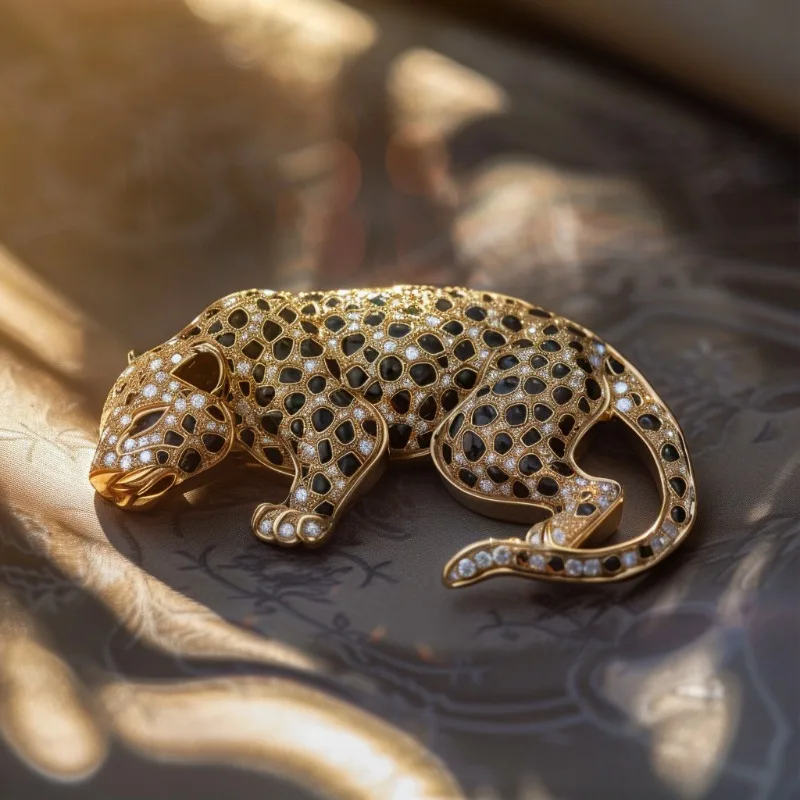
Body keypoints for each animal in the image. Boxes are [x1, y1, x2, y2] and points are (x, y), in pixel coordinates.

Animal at [90, 285, 696, 586]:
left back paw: (551, 539)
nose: (98, 477)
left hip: (472, 435)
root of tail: (590, 340)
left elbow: (330, 464)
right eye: (102, 425)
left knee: (603, 489)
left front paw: (294, 519)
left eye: (147, 419)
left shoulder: (344, 420)